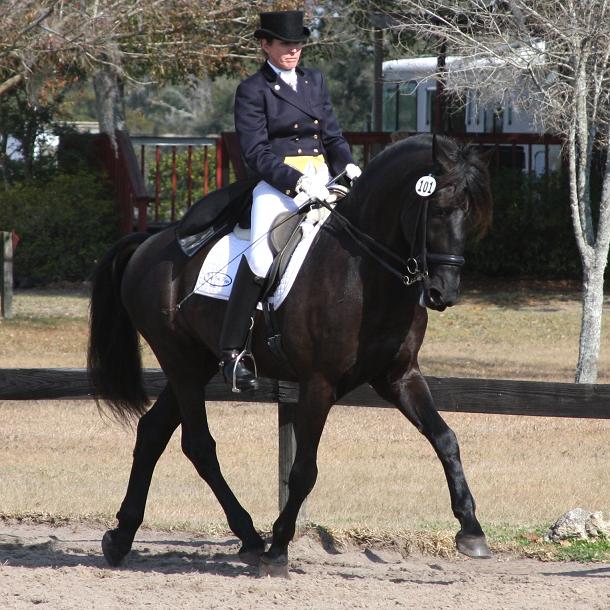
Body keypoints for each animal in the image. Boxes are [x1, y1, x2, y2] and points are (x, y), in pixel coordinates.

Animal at [88, 133, 492, 576]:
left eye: (470, 216)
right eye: (438, 210)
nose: (442, 293)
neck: (364, 273)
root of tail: (149, 242)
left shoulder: (399, 376)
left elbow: (445, 438)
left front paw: (471, 531)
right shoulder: (319, 384)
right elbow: (302, 471)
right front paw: (279, 547)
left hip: (197, 363)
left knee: (152, 432)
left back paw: (122, 537)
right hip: (180, 362)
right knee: (198, 445)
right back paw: (250, 537)